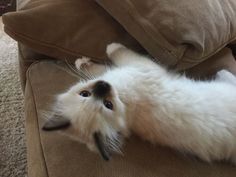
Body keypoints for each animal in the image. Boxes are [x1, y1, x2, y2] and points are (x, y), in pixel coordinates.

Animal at [42, 42, 236, 163]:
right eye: (108, 104)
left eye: (85, 94)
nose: (103, 87)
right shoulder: (138, 67)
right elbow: (112, 58)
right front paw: (103, 50)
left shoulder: (125, 70)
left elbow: (103, 65)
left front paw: (83, 61)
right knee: (228, 75)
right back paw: (221, 73)